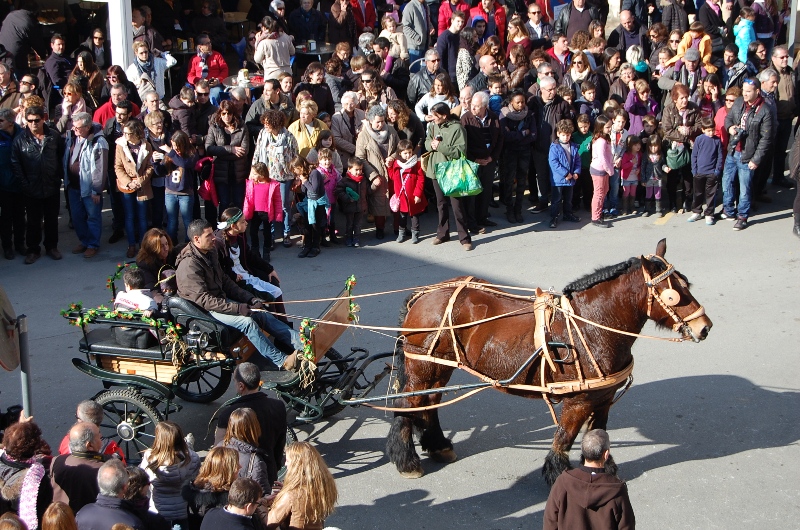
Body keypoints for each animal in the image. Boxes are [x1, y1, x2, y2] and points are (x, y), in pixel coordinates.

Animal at [388, 238, 712, 482]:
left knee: (430, 402)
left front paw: (603, 468)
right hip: (422, 366)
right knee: (409, 404)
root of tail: (423, 294)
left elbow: (599, 434)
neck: (591, 324)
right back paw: (407, 460)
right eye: (672, 295)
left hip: (440, 366)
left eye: (686, 284)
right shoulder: (578, 401)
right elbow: (564, 438)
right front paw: (558, 475)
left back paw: (438, 445)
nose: (704, 327)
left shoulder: (603, 399)